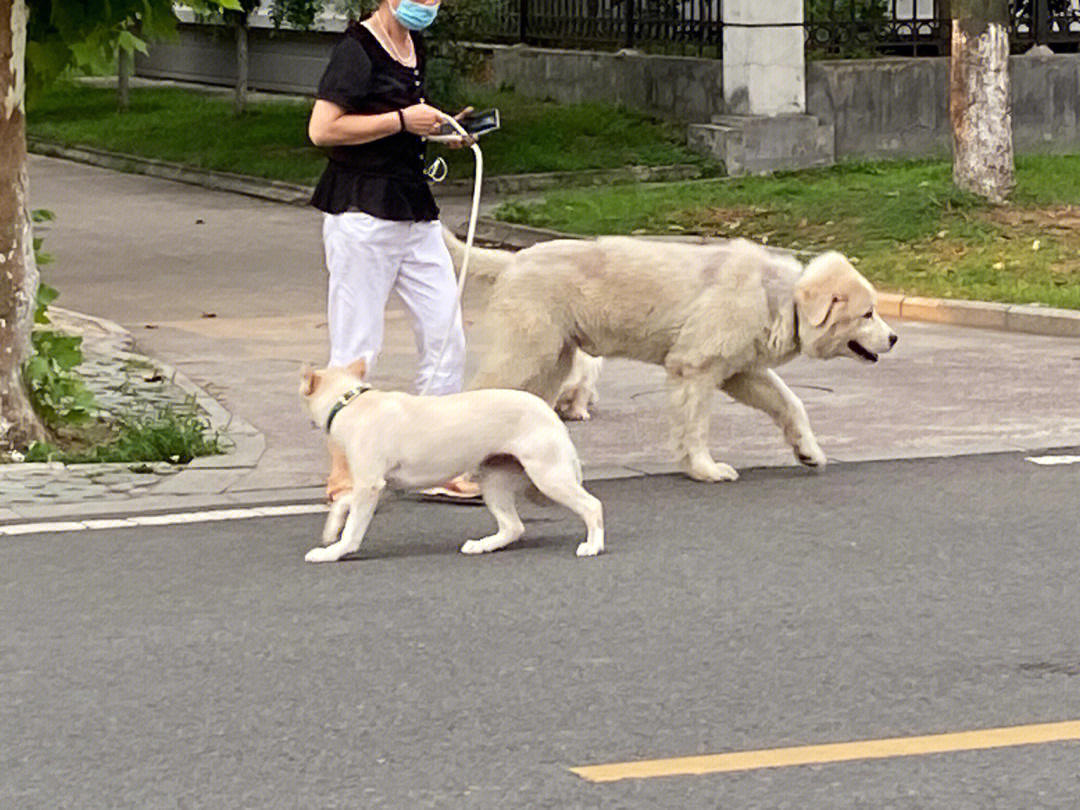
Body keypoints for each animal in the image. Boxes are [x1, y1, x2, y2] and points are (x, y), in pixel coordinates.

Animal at [300, 362, 604, 565]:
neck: (350, 402)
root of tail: (549, 412)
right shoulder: (378, 486)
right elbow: (343, 504)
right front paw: (331, 530)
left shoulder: (370, 486)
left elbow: (353, 530)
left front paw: (334, 552)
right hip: (494, 482)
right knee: (513, 528)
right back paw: (483, 545)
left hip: (549, 477)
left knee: (592, 507)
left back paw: (593, 546)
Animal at [442, 228, 898, 481]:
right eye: (868, 313)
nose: (894, 338)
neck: (778, 297)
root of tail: (512, 260)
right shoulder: (695, 368)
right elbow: (695, 426)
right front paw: (705, 470)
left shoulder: (741, 372)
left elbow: (791, 403)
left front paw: (808, 452)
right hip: (525, 352)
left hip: (553, 360)